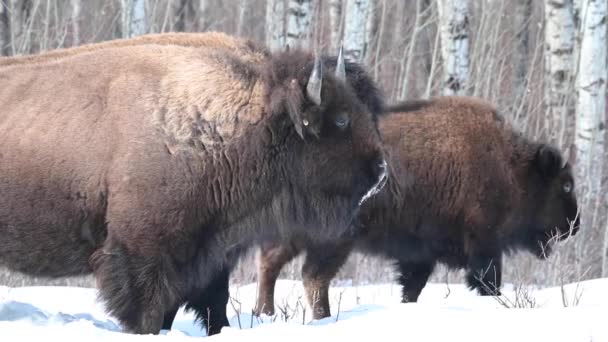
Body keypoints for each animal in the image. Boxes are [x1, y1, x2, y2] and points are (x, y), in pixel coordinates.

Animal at [1, 32, 390, 334]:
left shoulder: (207, 253)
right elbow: (150, 310)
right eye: (341, 120)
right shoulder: (144, 253)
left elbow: (208, 303)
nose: (382, 169)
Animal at [251, 97, 580, 320]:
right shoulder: (484, 245)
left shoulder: (420, 255)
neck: (510, 167)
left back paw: (263, 313)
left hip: (292, 234)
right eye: (565, 185)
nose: (574, 225)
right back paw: (323, 318)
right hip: (335, 239)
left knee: (270, 263)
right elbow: (487, 281)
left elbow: (412, 287)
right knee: (313, 275)